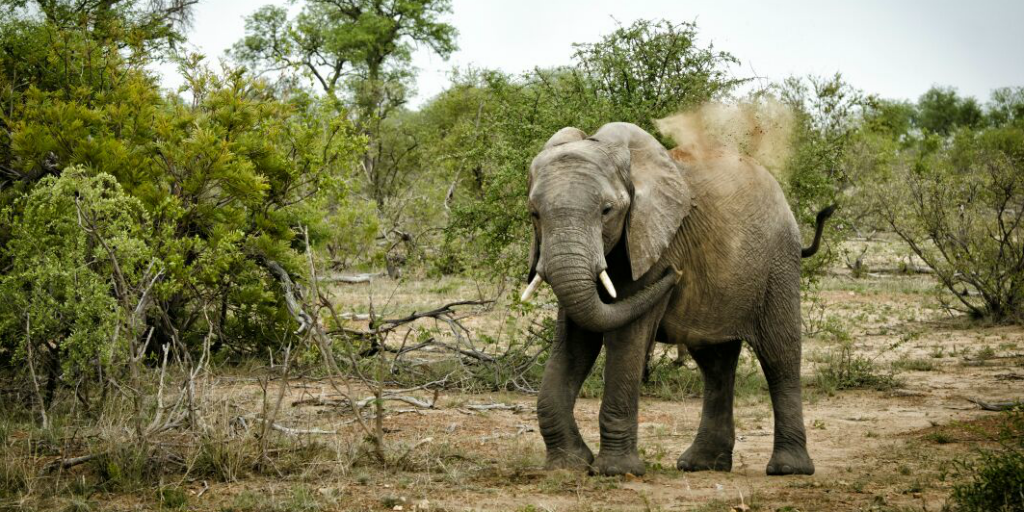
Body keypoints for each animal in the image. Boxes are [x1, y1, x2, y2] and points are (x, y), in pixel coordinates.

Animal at [520, 119, 831, 475]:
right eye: (534, 214)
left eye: (607, 211)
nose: (676, 273)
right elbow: (574, 341)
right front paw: (568, 465)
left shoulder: (656, 241)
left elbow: (626, 340)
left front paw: (615, 471)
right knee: (715, 363)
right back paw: (702, 465)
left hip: (778, 263)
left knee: (779, 354)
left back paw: (788, 469)